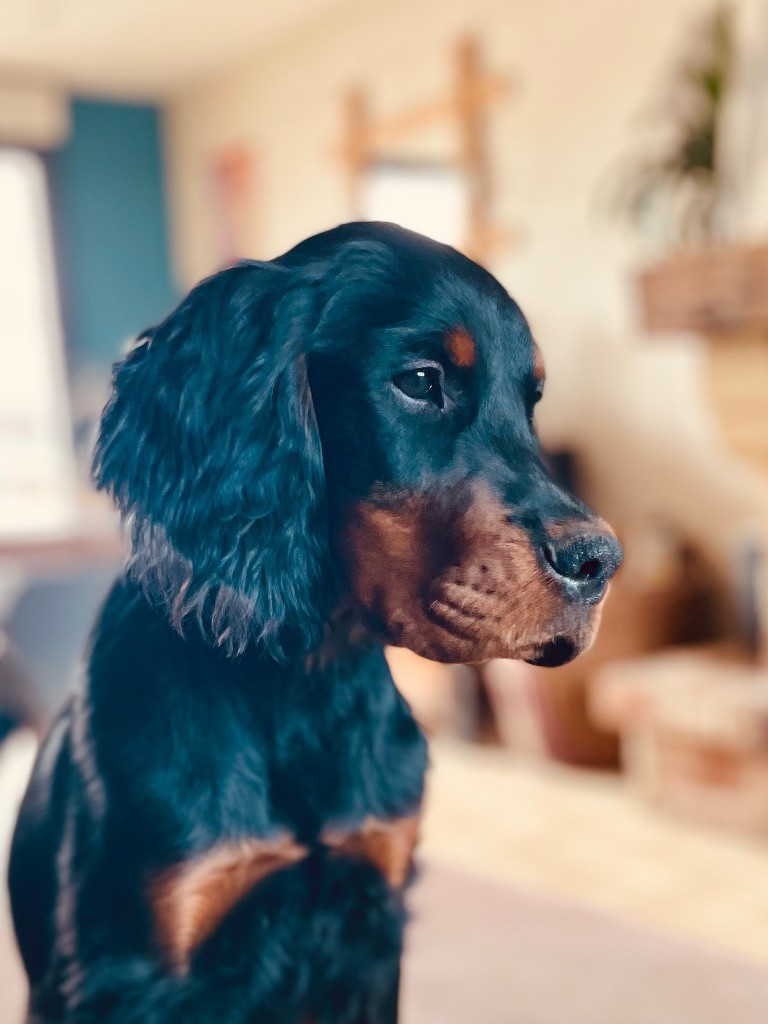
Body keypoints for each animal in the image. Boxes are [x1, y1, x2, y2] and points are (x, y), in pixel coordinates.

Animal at [8, 222, 621, 1023]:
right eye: (419, 381)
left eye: (532, 400)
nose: (600, 561)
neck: (306, 681)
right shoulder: (129, 970)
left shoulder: (372, 923)